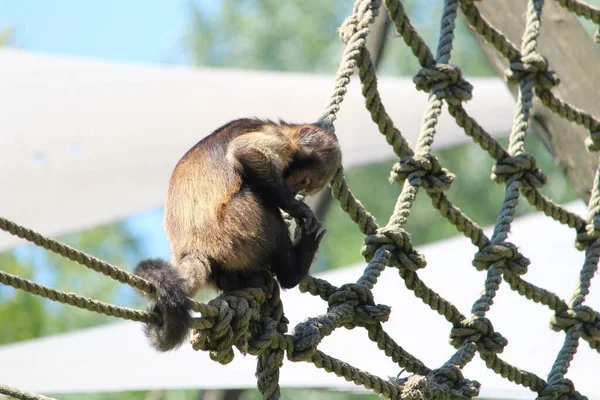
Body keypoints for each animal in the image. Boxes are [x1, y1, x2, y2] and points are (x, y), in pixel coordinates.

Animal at [134, 118, 344, 350]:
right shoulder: (278, 137)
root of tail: (190, 248)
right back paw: (292, 271)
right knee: (258, 197)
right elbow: (244, 152)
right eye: (304, 181)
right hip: (233, 228)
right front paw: (296, 207)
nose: (293, 190)